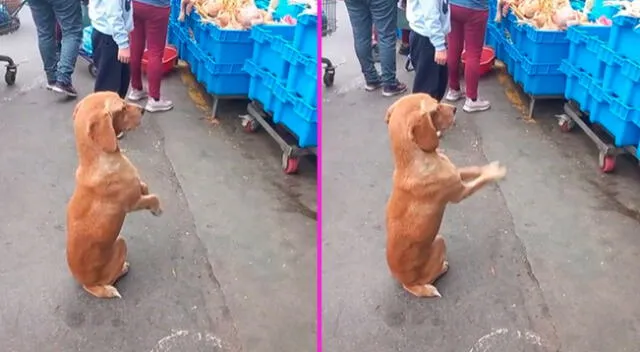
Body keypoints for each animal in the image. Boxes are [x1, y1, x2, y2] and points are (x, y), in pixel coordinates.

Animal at [66, 91, 162, 300]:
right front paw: (157, 209)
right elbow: (153, 197)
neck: (97, 160)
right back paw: (123, 269)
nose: (143, 110)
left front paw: (145, 189)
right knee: (112, 278)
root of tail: (87, 284)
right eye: (122, 107)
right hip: (121, 243)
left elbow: (144, 186)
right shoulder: (132, 203)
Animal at [382, 93, 508, 296]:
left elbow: (474, 169)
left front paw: (488, 167)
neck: (413, 161)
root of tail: (407, 284)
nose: (455, 109)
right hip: (440, 241)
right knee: (432, 277)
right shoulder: (460, 192)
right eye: (435, 109)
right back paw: (443, 267)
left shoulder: (457, 174)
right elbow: (481, 180)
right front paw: (496, 173)